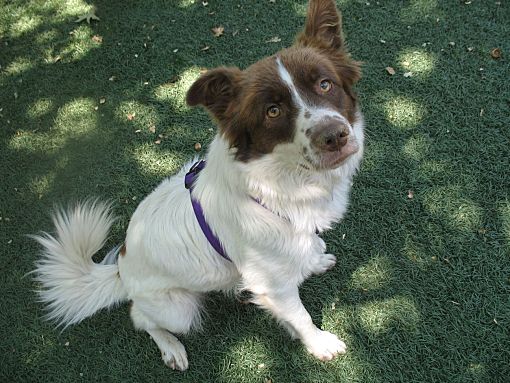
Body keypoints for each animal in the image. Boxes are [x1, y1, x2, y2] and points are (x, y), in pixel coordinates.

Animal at [32, 0, 362, 372]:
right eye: (273, 111)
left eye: (325, 84)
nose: (335, 136)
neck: (280, 184)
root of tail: (120, 267)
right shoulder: (272, 285)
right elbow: (301, 317)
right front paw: (320, 344)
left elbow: (305, 255)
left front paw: (315, 259)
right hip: (178, 310)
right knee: (140, 318)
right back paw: (171, 348)